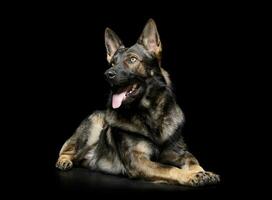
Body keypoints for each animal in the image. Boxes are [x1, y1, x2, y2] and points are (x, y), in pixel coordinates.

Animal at [56, 18, 220, 186]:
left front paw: (202, 172)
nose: (108, 74)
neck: (150, 113)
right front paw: (189, 176)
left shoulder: (180, 153)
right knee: (66, 151)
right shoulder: (139, 161)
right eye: (112, 63)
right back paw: (64, 161)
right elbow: (169, 168)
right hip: (94, 124)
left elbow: (193, 161)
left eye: (132, 59)